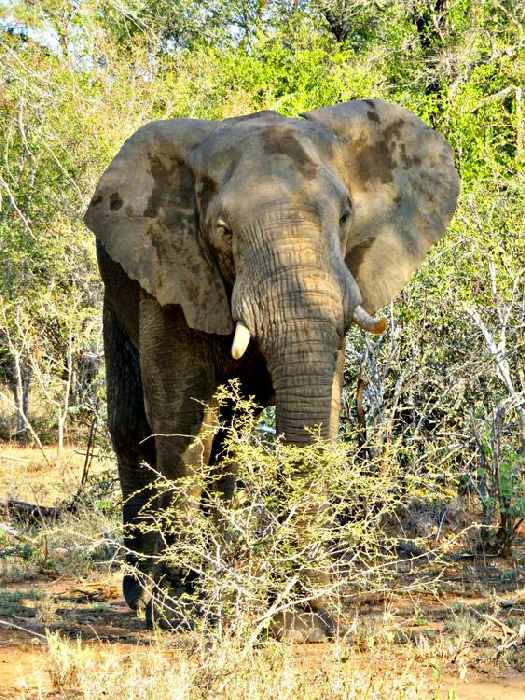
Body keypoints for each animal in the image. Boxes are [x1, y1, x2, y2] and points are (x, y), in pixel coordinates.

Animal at [84, 98, 459, 639]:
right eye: (223, 231)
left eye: (345, 216)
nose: (305, 614)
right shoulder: (173, 267)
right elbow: (180, 417)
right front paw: (178, 615)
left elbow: (320, 410)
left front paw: (303, 620)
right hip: (118, 288)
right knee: (134, 426)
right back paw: (142, 597)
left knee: (230, 440)